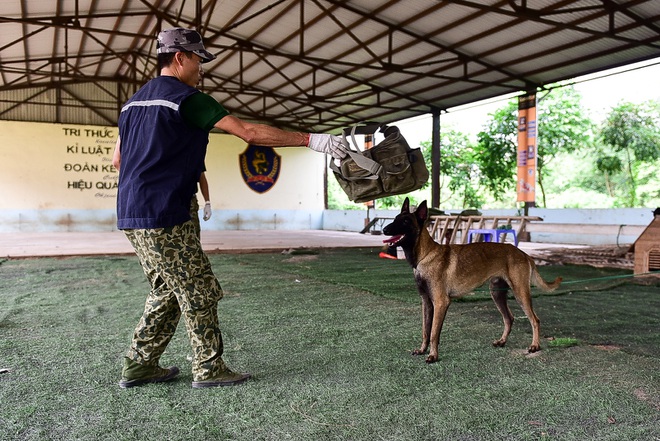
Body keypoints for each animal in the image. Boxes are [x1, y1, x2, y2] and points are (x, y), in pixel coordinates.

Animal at [382, 198, 564, 362]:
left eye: (405, 221)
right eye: (396, 218)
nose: (384, 229)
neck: (425, 256)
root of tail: (524, 254)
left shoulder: (440, 303)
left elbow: (434, 333)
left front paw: (433, 355)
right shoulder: (427, 303)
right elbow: (425, 331)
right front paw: (422, 350)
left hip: (520, 293)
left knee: (535, 319)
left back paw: (535, 346)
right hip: (497, 294)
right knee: (509, 318)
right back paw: (502, 341)